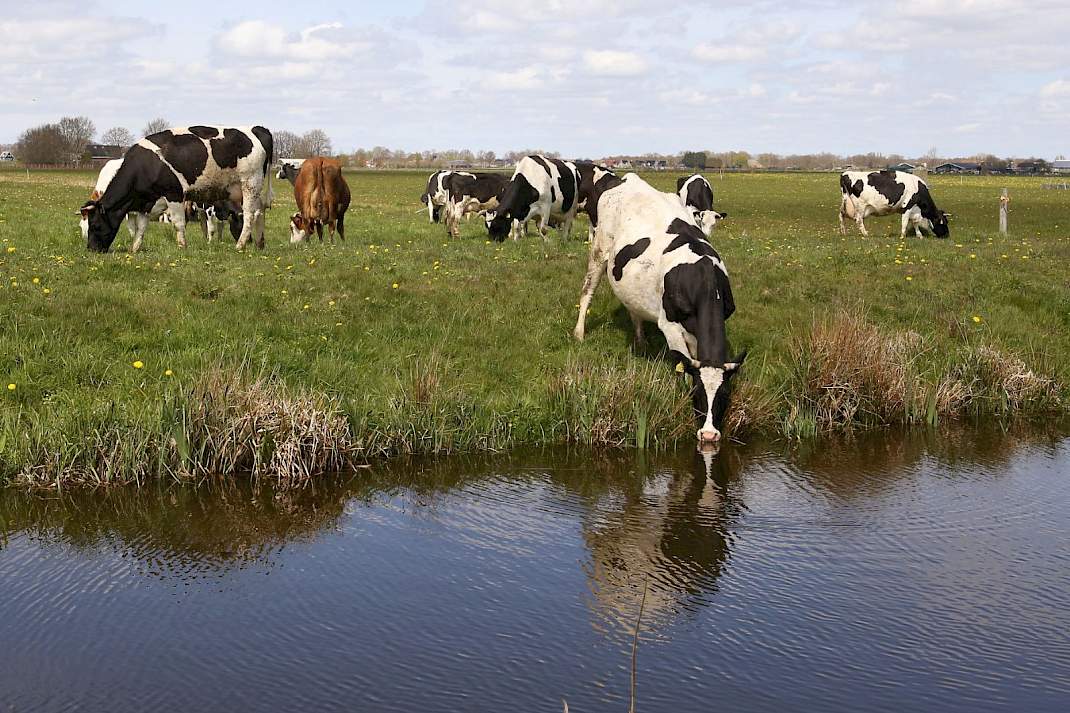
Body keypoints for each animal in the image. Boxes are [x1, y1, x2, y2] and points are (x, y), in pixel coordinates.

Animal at [79, 125, 273, 252]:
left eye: (95, 225)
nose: (91, 249)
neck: (145, 165)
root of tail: (257, 129)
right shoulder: (146, 201)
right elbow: (141, 227)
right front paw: (134, 249)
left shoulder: (174, 194)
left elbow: (178, 223)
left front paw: (182, 247)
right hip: (253, 190)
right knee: (261, 211)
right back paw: (259, 243)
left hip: (250, 183)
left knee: (250, 215)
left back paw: (240, 245)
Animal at [573, 174, 746, 447]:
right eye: (697, 394)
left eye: (724, 395)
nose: (709, 435)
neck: (702, 278)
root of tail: (627, 178)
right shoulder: (671, 327)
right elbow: (683, 366)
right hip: (599, 249)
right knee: (587, 290)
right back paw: (579, 333)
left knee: (633, 307)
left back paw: (641, 341)